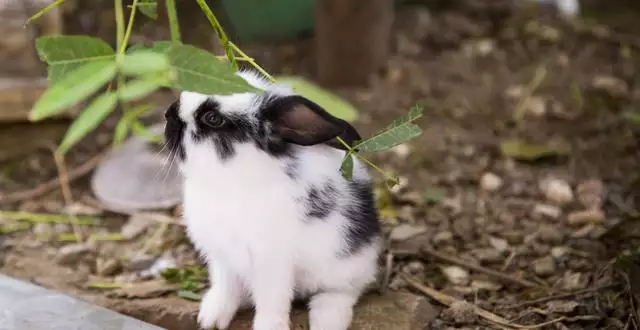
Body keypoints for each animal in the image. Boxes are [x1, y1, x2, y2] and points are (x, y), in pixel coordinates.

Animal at [165, 70, 382, 330]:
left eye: (212, 118)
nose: (168, 114)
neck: (231, 177)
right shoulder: (223, 258)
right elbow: (225, 287)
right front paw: (211, 319)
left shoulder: (271, 263)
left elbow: (272, 301)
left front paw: (268, 326)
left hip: (346, 266)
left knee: (343, 292)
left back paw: (327, 319)